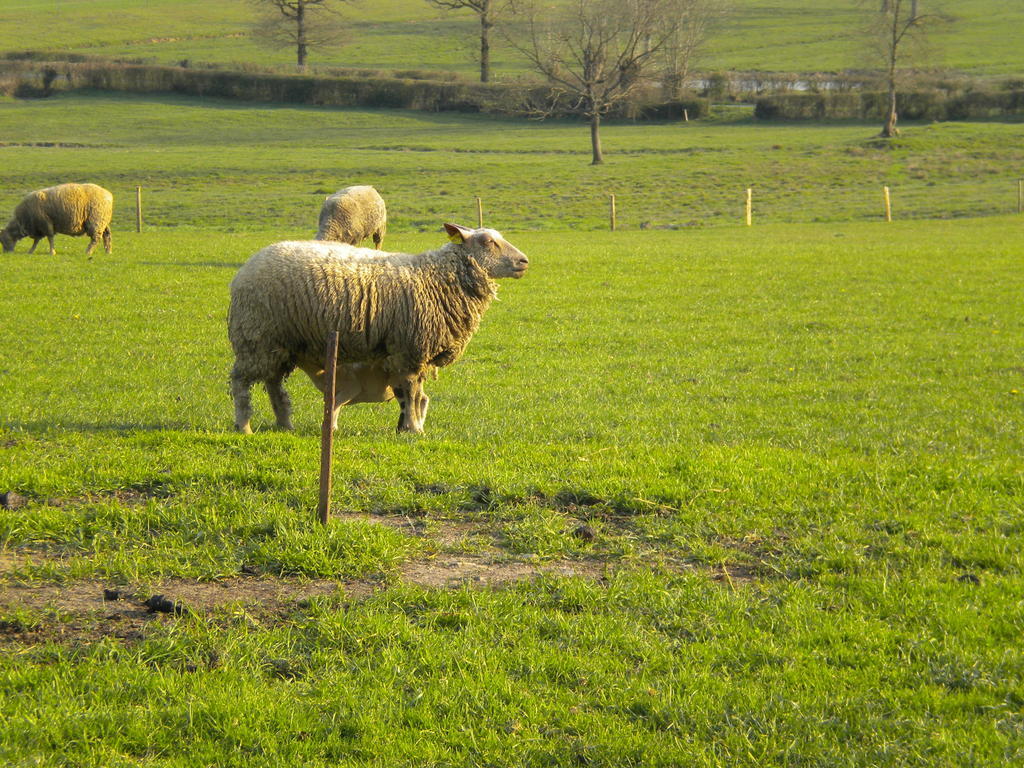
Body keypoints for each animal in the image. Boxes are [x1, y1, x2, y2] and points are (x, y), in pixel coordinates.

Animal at [229, 225, 532, 436]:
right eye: (487, 241)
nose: (524, 262)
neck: (437, 277)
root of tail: (245, 269)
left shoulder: (413, 352)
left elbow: (415, 393)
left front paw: (408, 426)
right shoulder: (409, 349)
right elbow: (411, 391)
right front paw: (414, 428)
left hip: (280, 344)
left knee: (273, 383)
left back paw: (285, 424)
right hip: (255, 337)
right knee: (241, 382)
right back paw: (244, 426)